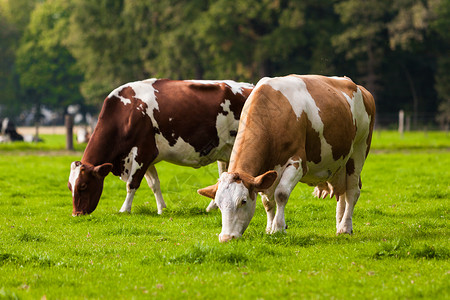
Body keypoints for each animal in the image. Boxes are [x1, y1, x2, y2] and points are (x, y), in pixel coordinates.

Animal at [69, 78, 253, 216]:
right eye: (70, 187)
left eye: (83, 185)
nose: (76, 214)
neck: (127, 112)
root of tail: (250, 86)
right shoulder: (148, 158)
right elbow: (154, 184)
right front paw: (162, 209)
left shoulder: (142, 152)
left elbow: (132, 184)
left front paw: (125, 209)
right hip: (224, 152)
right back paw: (212, 207)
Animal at [199, 74, 374, 241]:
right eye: (218, 204)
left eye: (243, 201)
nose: (226, 237)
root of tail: (358, 87)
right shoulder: (264, 173)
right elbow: (267, 201)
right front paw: (269, 228)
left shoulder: (297, 163)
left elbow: (281, 194)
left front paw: (278, 228)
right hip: (340, 165)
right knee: (342, 194)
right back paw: (340, 225)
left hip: (359, 151)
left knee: (352, 192)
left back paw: (345, 227)